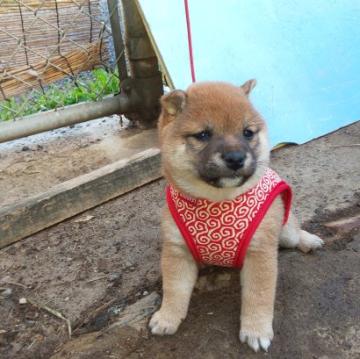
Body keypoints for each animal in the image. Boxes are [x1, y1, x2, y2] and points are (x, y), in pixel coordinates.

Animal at [149, 81, 324, 352]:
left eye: (247, 133)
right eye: (203, 135)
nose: (235, 158)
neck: (216, 202)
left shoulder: (260, 253)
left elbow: (258, 296)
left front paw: (256, 330)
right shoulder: (177, 252)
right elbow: (174, 289)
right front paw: (167, 317)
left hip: (283, 231)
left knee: (294, 232)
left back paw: (309, 241)